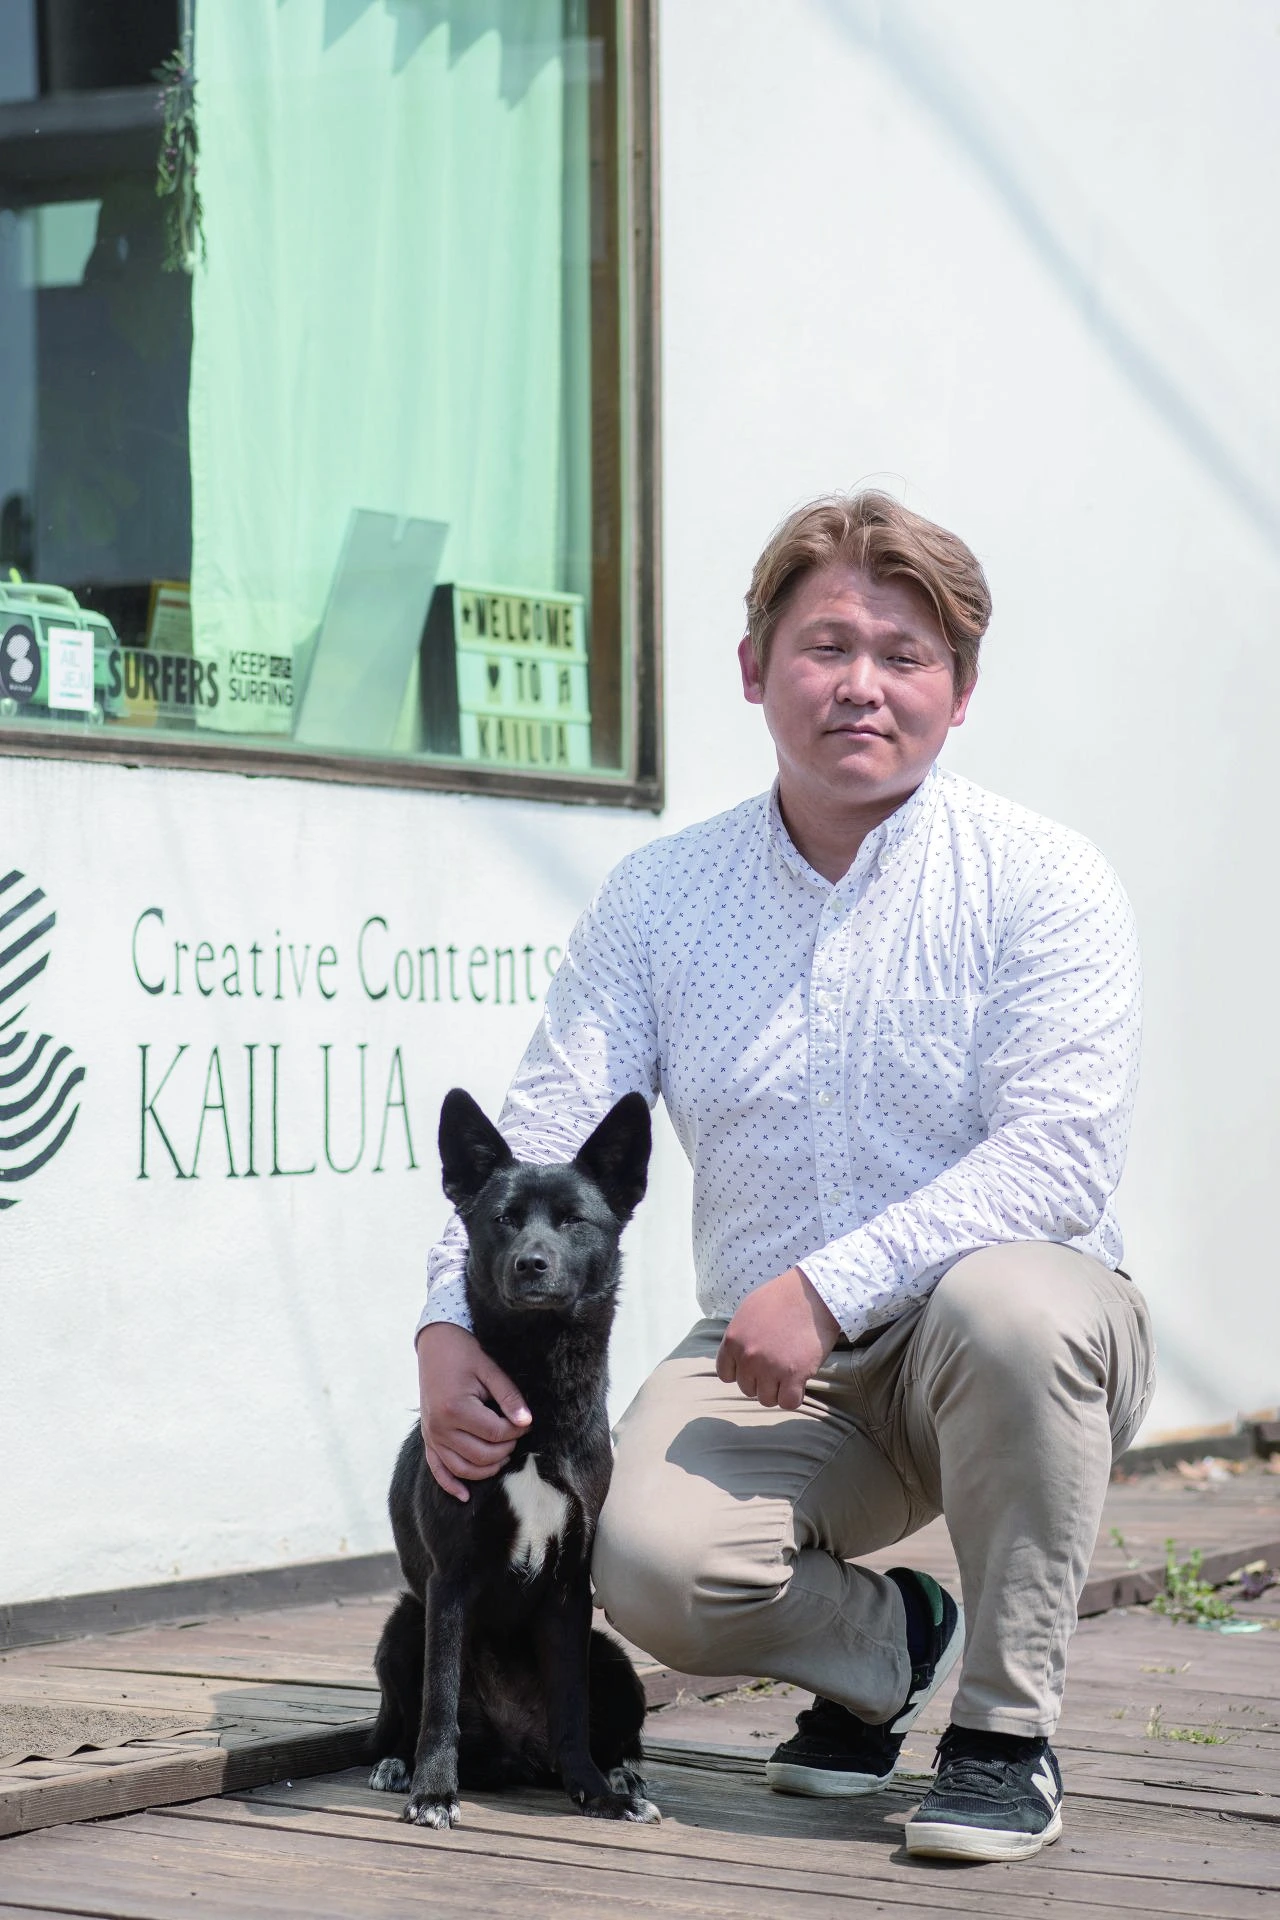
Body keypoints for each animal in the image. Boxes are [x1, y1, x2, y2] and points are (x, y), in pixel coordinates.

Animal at [368, 1086, 659, 1830]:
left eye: (573, 1220)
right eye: (502, 1220)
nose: (532, 1263)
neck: (535, 1402)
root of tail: (514, 1754)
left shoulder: (568, 1593)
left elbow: (571, 1710)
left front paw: (595, 1792)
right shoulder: (450, 1582)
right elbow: (439, 1702)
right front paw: (434, 1793)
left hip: (613, 1659)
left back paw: (622, 1775)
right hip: (403, 1624)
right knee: (398, 1717)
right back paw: (397, 1765)